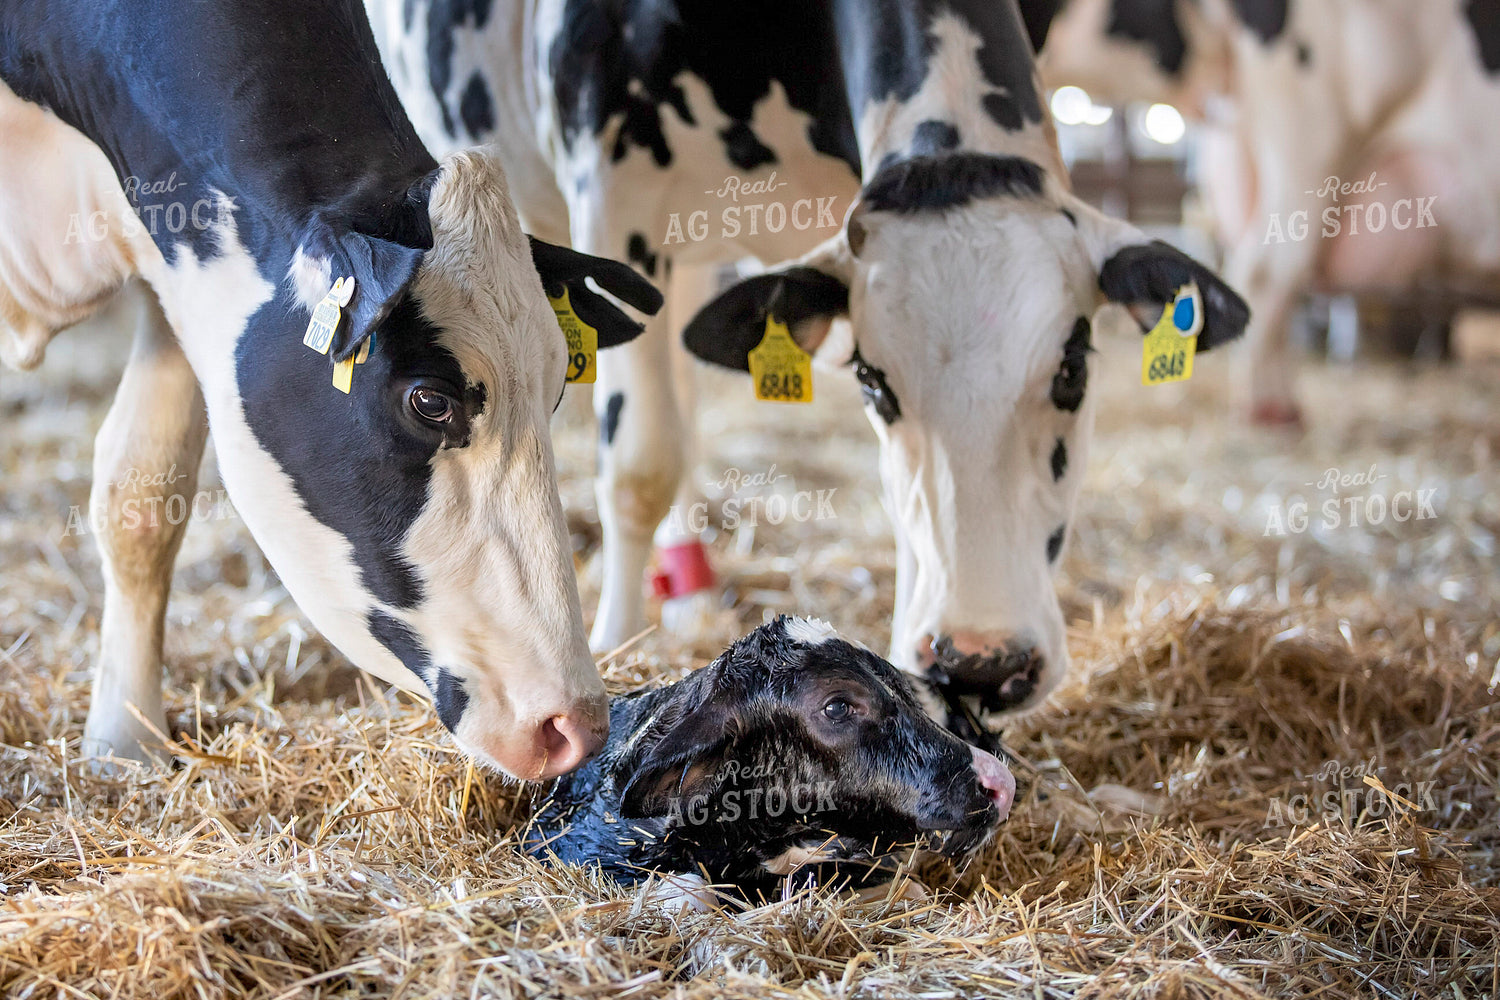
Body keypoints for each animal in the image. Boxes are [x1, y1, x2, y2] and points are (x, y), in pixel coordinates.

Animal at [0, 0, 667, 780]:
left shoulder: (187, 290)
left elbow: (142, 496)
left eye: (558, 389)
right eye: (430, 400)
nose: (574, 724)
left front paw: (124, 744)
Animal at [373, 0, 1249, 745]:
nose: (979, 663)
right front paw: (617, 645)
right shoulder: (617, 195)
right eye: (872, 382)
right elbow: (639, 466)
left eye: (1072, 368)